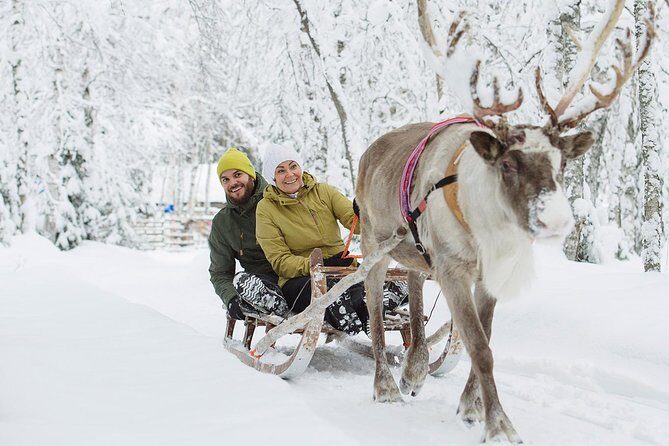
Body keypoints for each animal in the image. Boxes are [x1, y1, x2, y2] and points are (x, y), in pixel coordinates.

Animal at [355, 1, 655, 442]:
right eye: (509, 163)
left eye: (561, 163)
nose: (556, 220)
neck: (486, 233)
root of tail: (369, 152)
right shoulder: (453, 268)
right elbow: (480, 347)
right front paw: (499, 424)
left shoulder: (491, 272)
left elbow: (483, 336)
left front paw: (470, 407)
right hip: (373, 244)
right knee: (375, 308)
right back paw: (387, 385)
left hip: (416, 249)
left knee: (414, 282)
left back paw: (415, 369)